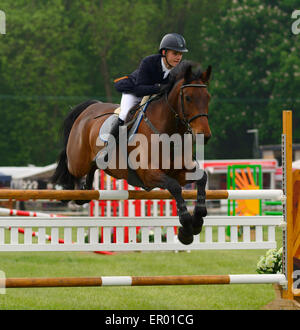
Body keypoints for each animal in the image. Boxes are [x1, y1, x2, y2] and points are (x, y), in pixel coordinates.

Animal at [52, 60, 211, 244]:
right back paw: (66, 190)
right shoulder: (149, 174)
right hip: (78, 161)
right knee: (69, 166)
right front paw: (186, 227)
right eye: (188, 98)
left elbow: (201, 178)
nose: (205, 135)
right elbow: (174, 186)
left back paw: (83, 191)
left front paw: (197, 220)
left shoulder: (180, 172)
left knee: (92, 168)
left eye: (208, 97)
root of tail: (90, 107)